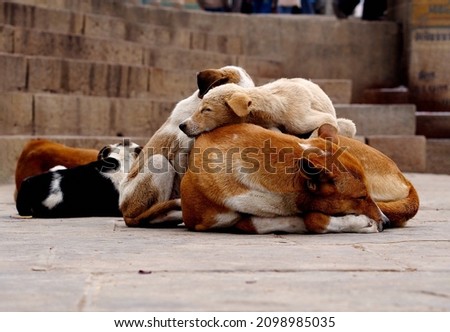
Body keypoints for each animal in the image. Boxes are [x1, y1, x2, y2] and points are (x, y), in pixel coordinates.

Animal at [178, 78, 356, 138]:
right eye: (199, 107)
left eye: (206, 109)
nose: (182, 125)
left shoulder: (297, 112)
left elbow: (327, 120)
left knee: (348, 124)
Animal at [178, 123, 418, 235]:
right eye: (360, 197)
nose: (385, 222)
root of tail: (404, 178)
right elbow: (311, 219)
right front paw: (363, 222)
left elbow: (311, 218)